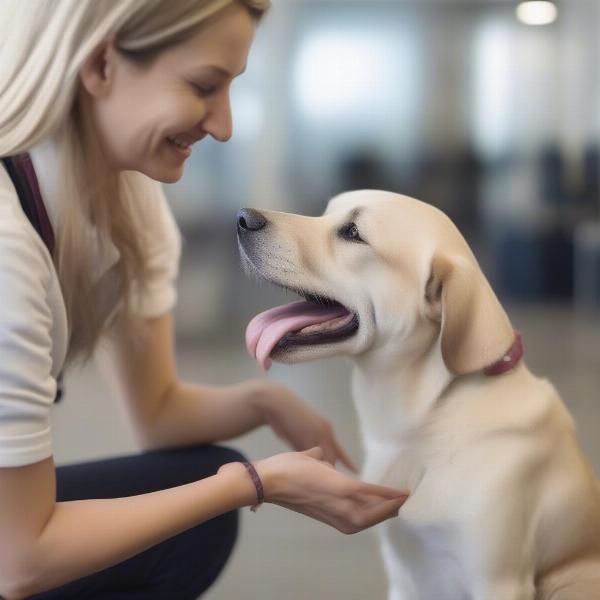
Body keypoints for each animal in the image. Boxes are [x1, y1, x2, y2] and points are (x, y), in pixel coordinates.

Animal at [237, 191, 596, 600]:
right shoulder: (403, 577)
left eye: (353, 232)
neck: (422, 421)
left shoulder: (498, 581)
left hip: (569, 580)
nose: (242, 218)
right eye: (326, 212)